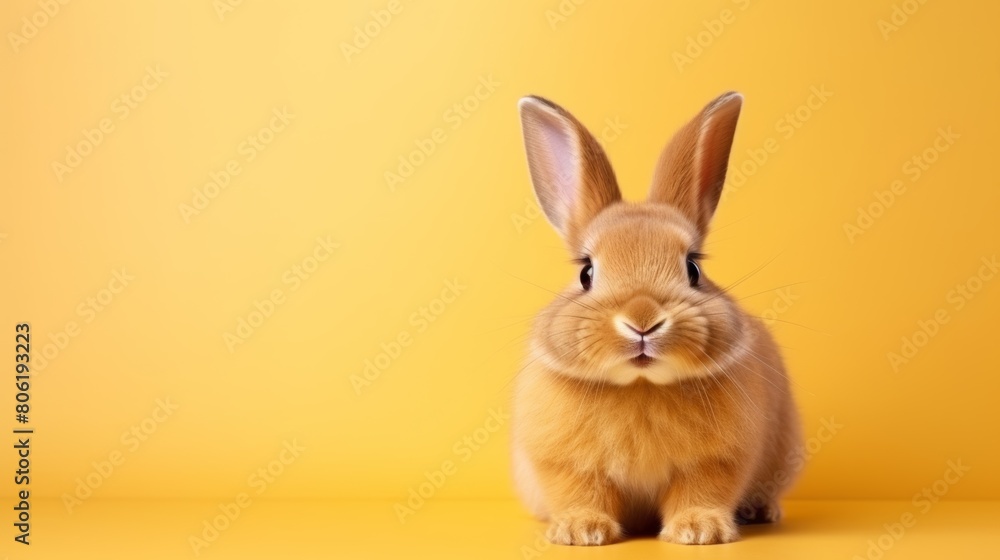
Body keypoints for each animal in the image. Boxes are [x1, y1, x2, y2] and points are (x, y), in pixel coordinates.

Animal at [511, 92, 803, 546]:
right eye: (586, 273)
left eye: (693, 268)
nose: (642, 319)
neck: (640, 386)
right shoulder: (565, 464)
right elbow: (581, 492)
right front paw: (581, 532)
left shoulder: (716, 461)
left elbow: (700, 490)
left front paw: (699, 531)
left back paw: (759, 511)